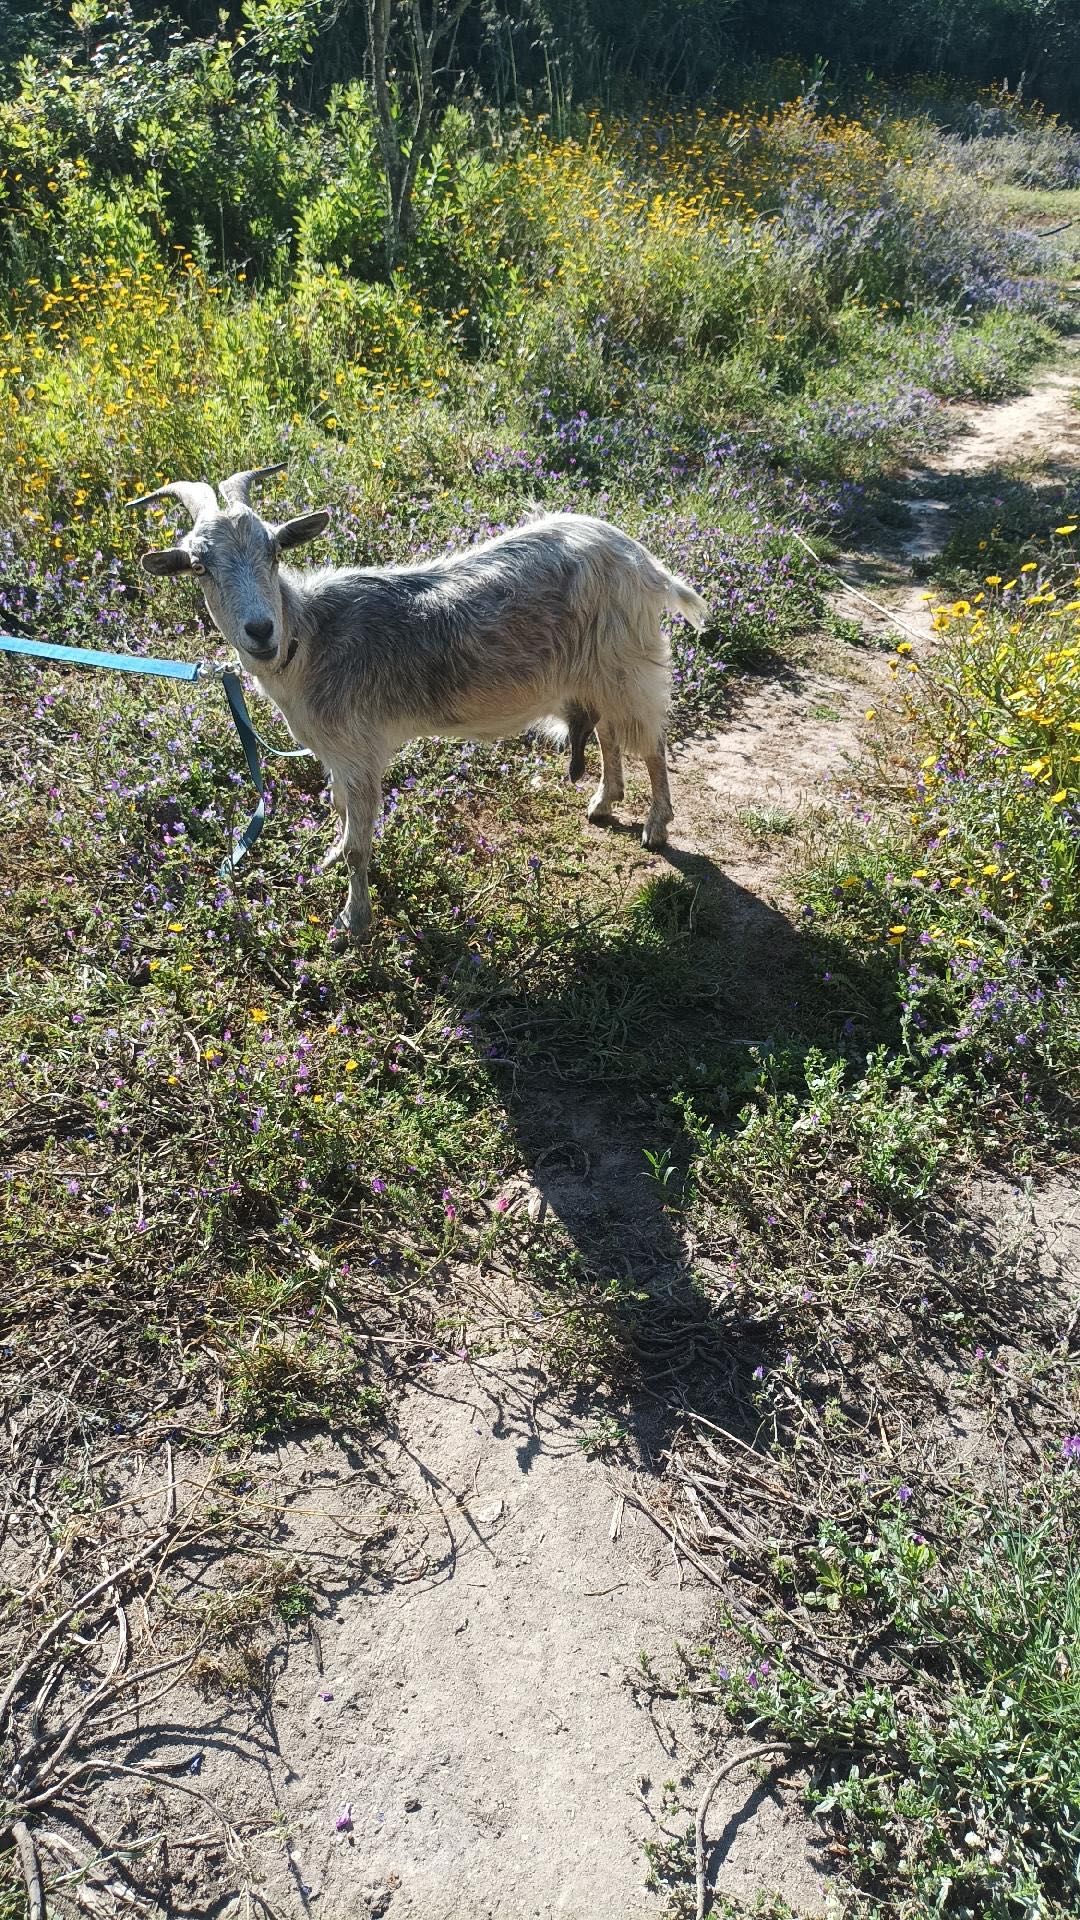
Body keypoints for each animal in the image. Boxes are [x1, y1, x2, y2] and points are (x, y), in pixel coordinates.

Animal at [132, 468, 707, 940]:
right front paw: (330, 856)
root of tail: (643, 561)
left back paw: (656, 825)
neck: (310, 640)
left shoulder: (360, 752)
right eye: (199, 566)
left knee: (652, 743)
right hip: (596, 673)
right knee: (610, 732)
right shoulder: (337, 755)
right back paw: (605, 801)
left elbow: (361, 844)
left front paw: (353, 921)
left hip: (625, 664)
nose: (260, 631)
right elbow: (339, 810)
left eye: (274, 551)